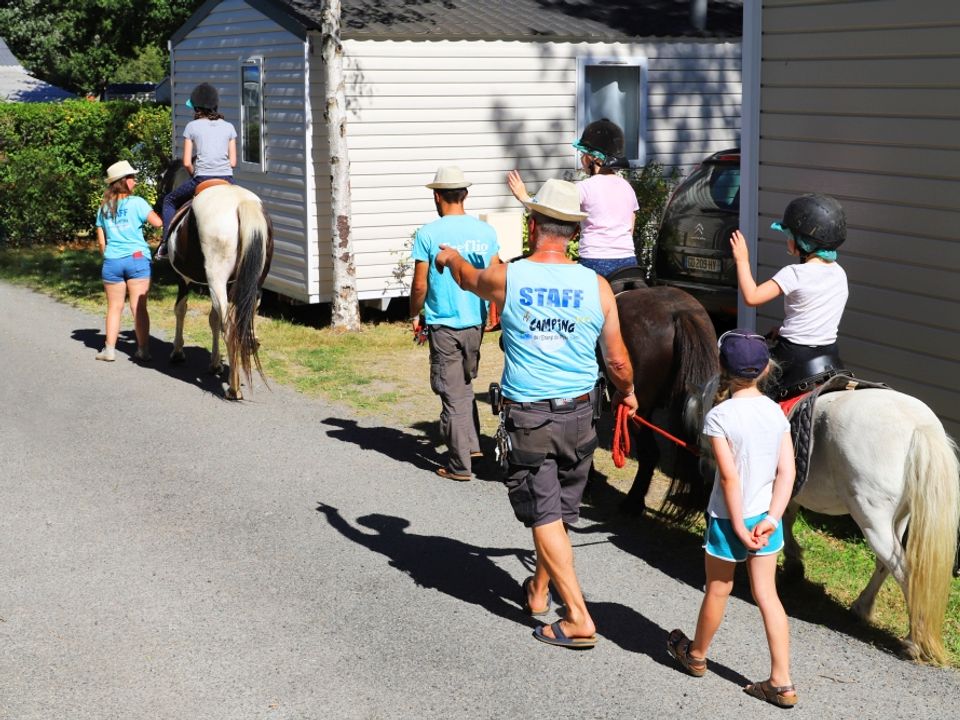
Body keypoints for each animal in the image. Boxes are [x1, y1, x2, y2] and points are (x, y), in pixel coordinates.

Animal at [167, 181, 272, 400]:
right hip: (252, 284)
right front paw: (215, 364)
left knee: (230, 328)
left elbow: (181, 309)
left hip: (217, 279)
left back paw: (233, 389)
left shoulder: (183, 278)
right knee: (241, 324)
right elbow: (214, 319)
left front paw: (177, 352)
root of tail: (242, 202)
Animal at [780, 388, 960, 664]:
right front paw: (793, 562)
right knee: (885, 564)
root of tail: (919, 425)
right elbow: (786, 516)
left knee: (904, 571)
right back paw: (862, 607)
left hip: (871, 518)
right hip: (896, 519)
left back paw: (913, 642)